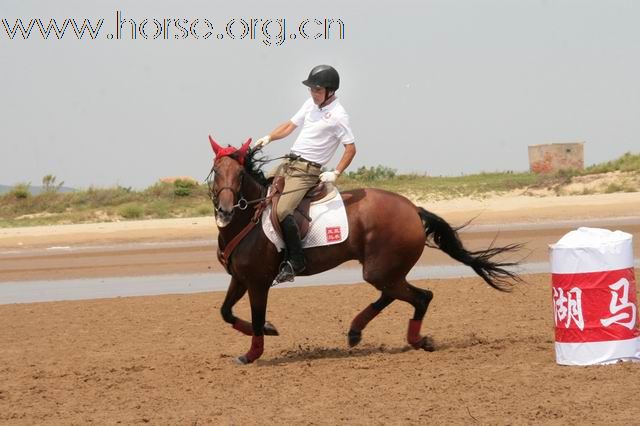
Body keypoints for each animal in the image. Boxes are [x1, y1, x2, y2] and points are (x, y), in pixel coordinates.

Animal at [208, 138, 524, 364]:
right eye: (216, 172)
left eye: (239, 174)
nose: (225, 211)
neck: (247, 222)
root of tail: (413, 209)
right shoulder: (240, 278)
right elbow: (225, 312)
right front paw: (269, 330)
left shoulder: (258, 282)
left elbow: (255, 319)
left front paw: (252, 353)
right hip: (386, 271)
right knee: (395, 295)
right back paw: (357, 332)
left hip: (379, 270)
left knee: (421, 296)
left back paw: (416, 340)